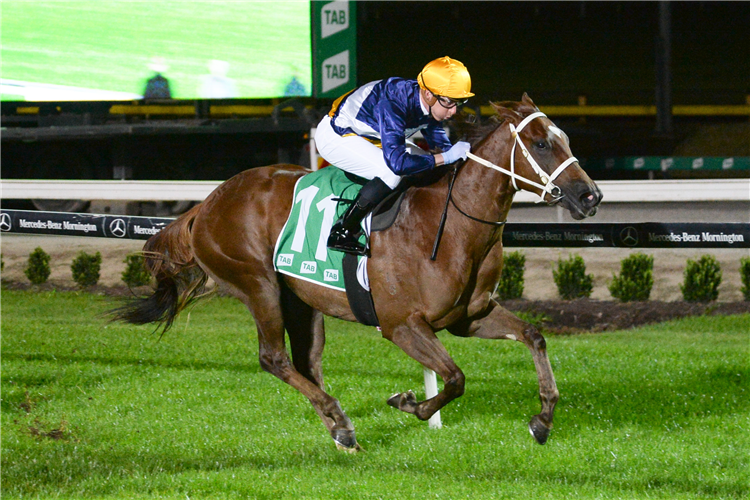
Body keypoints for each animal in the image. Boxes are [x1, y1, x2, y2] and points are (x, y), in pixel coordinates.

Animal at [113, 94, 604, 454]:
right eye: (541, 144)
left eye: (563, 138)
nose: (590, 195)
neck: (449, 225)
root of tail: (206, 204)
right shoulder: (401, 324)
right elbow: (454, 377)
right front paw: (409, 402)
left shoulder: (470, 316)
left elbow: (534, 337)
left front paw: (542, 420)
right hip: (258, 284)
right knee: (274, 359)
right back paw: (341, 422)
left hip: (302, 299)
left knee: (306, 363)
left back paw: (339, 428)